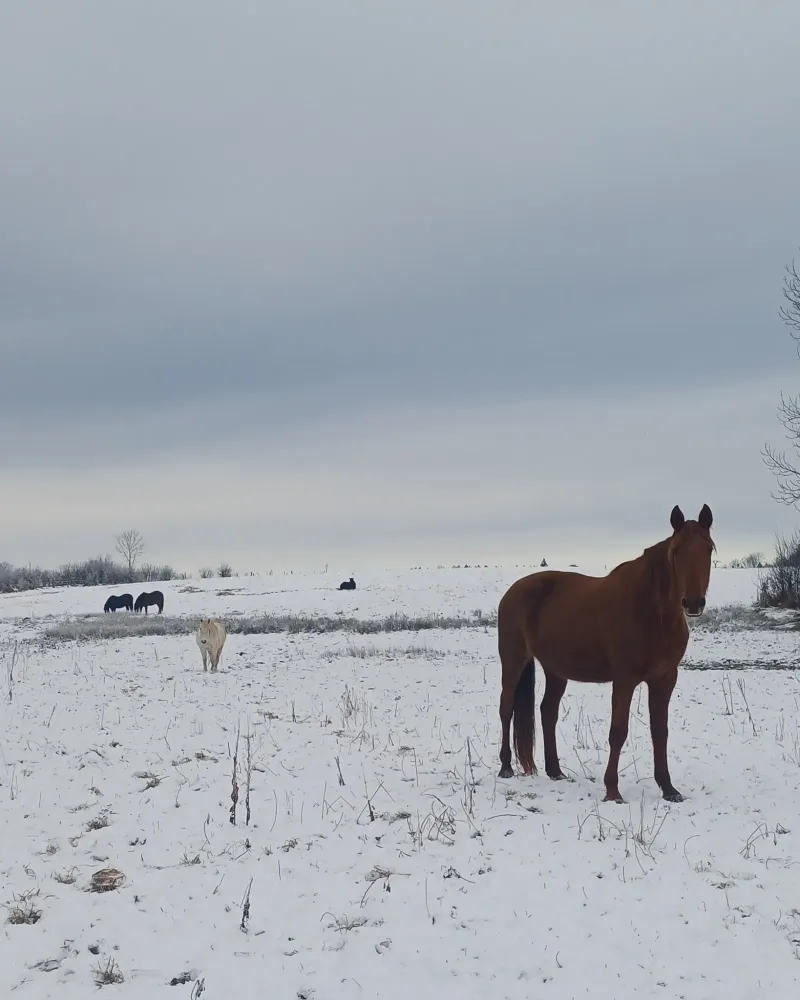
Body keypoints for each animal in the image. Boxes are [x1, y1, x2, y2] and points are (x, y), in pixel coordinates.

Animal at [496, 504, 714, 804]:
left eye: (709, 549)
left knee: (547, 712)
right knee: (506, 708)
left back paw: (555, 771)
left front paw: (669, 788)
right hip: (513, 660)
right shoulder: (624, 680)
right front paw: (612, 791)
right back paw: (506, 767)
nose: (693, 603)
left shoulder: (665, 678)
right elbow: (618, 732)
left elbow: (660, 731)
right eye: (676, 551)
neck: (651, 611)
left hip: (556, 670)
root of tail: (512, 592)